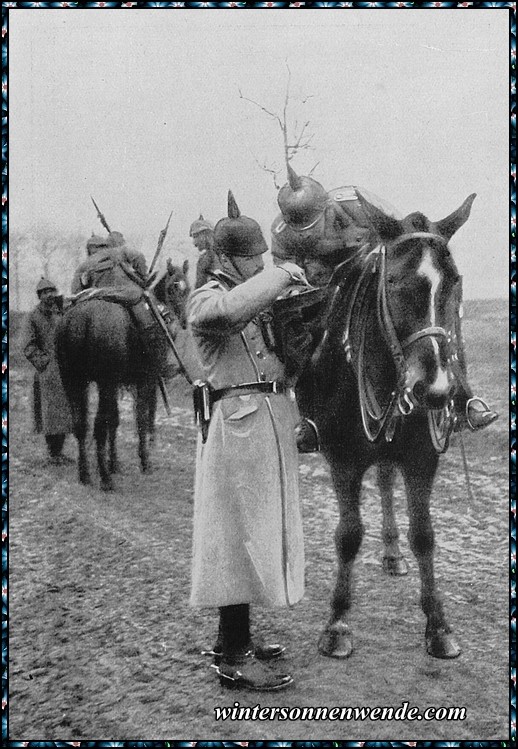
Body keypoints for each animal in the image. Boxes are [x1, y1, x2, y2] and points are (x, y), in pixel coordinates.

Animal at [57, 260, 191, 494]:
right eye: (173, 287)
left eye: (188, 288)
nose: (183, 321)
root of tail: (81, 320)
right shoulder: (145, 380)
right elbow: (141, 418)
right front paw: (144, 462)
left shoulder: (118, 383)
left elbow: (115, 420)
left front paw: (115, 462)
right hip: (105, 384)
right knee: (99, 426)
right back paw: (105, 479)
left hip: (73, 381)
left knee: (81, 426)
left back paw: (85, 475)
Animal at [298, 190, 478, 656]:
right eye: (393, 282)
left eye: (455, 281)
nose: (436, 389)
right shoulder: (342, 460)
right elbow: (348, 536)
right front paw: (337, 624)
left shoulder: (422, 458)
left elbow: (424, 535)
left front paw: (438, 625)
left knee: (383, 481)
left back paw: (393, 553)